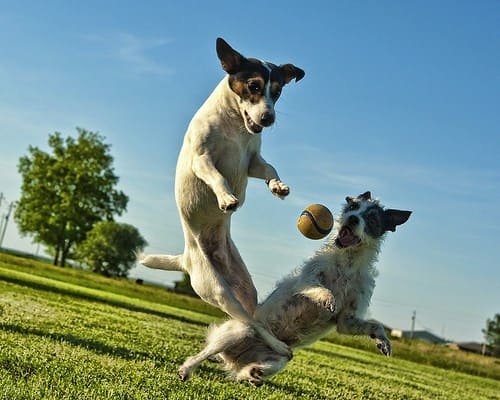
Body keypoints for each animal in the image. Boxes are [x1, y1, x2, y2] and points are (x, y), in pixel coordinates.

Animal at [141, 37, 304, 356]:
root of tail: (186, 259)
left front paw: (278, 187)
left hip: (245, 288)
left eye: (277, 92)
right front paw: (227, 198)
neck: (236, 128)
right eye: (253, 86)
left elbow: (270, 168)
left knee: (254, 319)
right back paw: (277, 346)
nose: (268, 118)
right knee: (249, 322)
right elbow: (218, 177)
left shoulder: (253, 161)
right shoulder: (202, 159)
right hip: (218, 291)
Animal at [178, 192, 412, 386]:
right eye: (353, 207)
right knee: (201, 355)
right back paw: (186, 369)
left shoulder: (347, 320)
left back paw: (255, 373)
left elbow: (374, 325)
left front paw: (384, 342)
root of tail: (232, 357)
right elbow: (320, 289)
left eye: (371, 219)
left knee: (263, 366)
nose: (353, 219)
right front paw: (329, 299)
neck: (347, 263)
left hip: (283, 354)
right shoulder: (307, 281)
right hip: (241, 331)